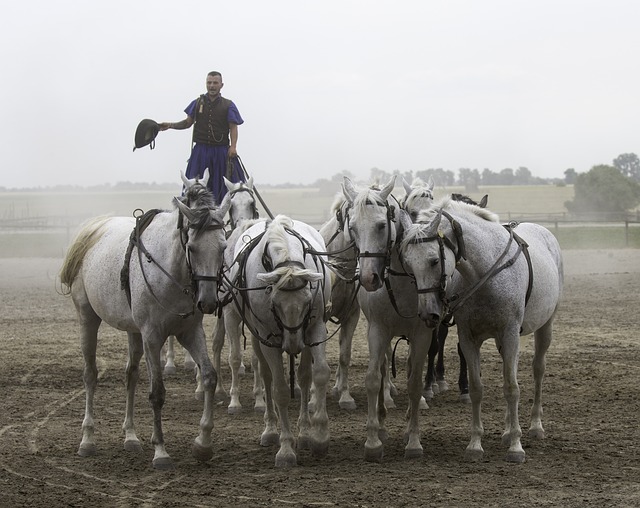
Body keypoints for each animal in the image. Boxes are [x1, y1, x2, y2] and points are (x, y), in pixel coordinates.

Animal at [60, 171, 230, 468]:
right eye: (192, 247)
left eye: (223, 246)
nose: (208, 301)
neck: (171, 269)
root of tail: (94, 229)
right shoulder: (152, 336)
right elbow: (157, 392)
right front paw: (160, 450)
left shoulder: (189, 332)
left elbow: (209, 376)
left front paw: (203, 442)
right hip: (88, 319)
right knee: (90, 375)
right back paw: (87, 439)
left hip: (133, 331)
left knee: (131, 375)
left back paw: (130, 436)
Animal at [220, 214, 330, 468]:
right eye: (275, 303)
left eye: (307, 301)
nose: (293, 344)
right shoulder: (268, 337)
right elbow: (279, 389)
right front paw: (286, 449)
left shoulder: (314, 328)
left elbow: (318, 374)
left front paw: (317, 436)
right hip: (257, 336)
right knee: (267, 377)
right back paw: (270, 430)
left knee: (304, 377)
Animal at [340, 177, 430, 462]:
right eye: (353, 228)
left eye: (381, 225)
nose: (369, 278)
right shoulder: (377, 331)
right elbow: (372, 379)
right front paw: (373, 439)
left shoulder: (422, 335)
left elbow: (414, 383)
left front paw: (414, 440)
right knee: (381, 370)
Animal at [402, 198, 564, 464]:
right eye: (408, 264)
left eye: (434, 260)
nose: (427, 314)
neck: (486, 273)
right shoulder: (469, 338)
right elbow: (477, 388)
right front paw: (475, 444)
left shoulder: (510, 334)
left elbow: (512, 389)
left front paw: (516, 448)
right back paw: (508, 430)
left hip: (545, 327)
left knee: (538, 371)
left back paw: (534, 426)